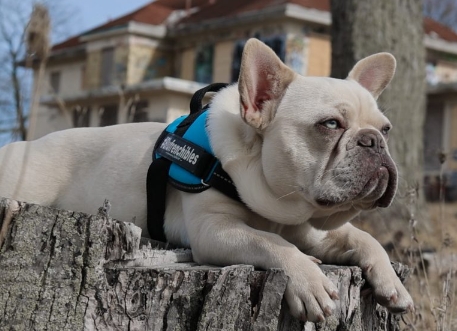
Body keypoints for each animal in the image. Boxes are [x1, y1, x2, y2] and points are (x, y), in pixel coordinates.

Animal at [0, 38, 414, 322]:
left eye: (386, 129)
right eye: (330, 124)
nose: (373, 141)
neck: (278, 205)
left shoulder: (313, 231)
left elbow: (363, 238)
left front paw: (393, 284)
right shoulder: (214, 230)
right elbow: (270, 243)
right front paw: (308, 281)